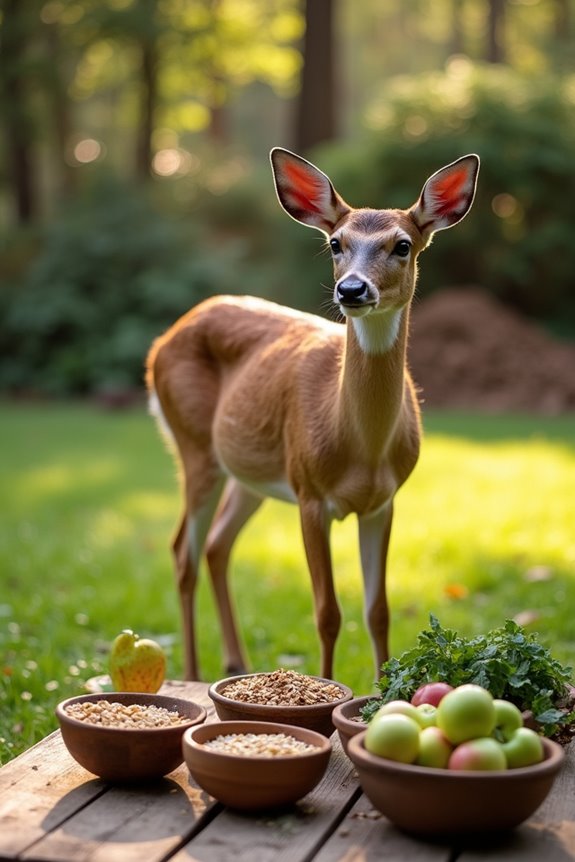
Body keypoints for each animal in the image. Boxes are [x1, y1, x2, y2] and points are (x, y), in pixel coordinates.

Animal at [146, 148, 479, 681]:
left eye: (403, 245)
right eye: (335, 243)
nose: (352, 289)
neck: (361, 448)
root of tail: (162, 342)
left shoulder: (384, 501)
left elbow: (378, 610)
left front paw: (381, 689)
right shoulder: (308, 494)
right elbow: (327, 613)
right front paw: (325, 685)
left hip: (251, 471)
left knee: (217, 546)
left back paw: (235, 664)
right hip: (195, 446)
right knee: (183, 552)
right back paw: (194, 676)